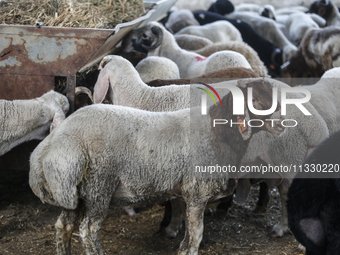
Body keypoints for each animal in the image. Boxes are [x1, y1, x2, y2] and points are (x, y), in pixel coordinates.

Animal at [29, 79, 284, 255]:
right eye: (255, 102)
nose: (282, 125)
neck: (218, 133)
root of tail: (55, 141)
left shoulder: (189, 195)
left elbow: (188, 237)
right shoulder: (197, 193)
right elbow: (195, 238)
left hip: (71, 189)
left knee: (63, 226)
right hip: (98, 185)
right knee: (88, 231)